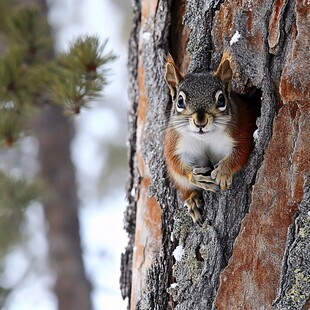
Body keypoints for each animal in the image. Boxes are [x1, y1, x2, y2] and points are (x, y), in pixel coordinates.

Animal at [165, 52, 256, 223]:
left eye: (221, 99)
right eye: (180, 101)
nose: (200, 122)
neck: (205, 138)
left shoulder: (241, 132)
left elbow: (241, 152)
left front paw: (223, 171)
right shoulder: (175, 143)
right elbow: (175, 162)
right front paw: (195, 177)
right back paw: (193, 200)